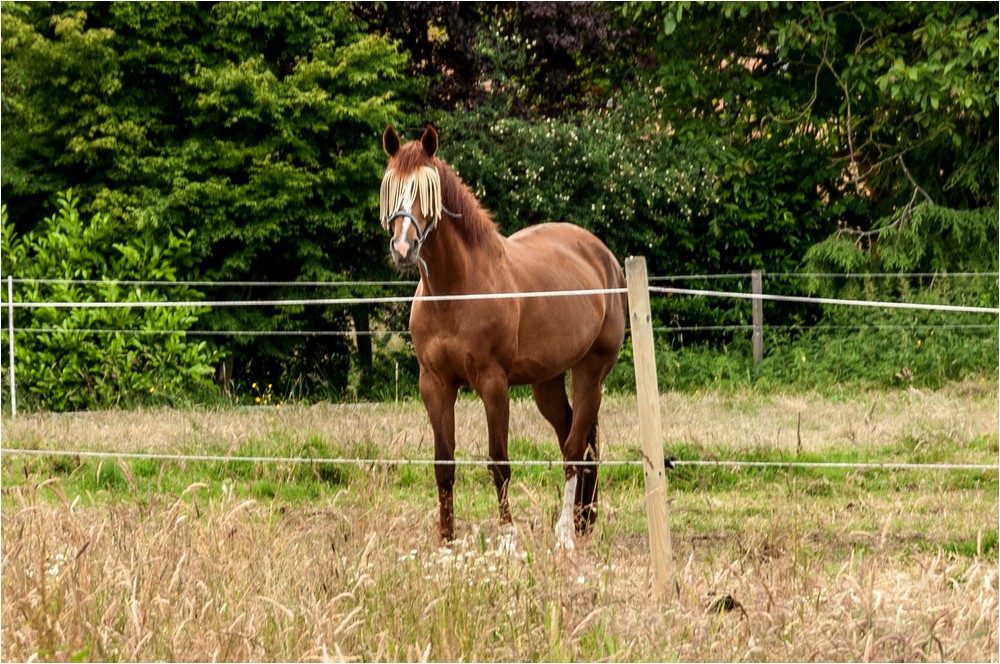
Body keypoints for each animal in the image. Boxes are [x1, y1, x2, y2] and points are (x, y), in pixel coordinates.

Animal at [382, 124, 624, 548]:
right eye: (391, 187)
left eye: (428, 191)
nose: (403, 247)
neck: (455, 291)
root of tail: (604, 257)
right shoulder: (434, 384)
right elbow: (443, 463)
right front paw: (446, 538)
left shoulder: (493, 384)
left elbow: (499, 461)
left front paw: (508, 535)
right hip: (547, 383)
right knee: (573, 437)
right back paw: (584, 519)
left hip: (590, 372)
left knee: (575, 447)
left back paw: (566, 532)